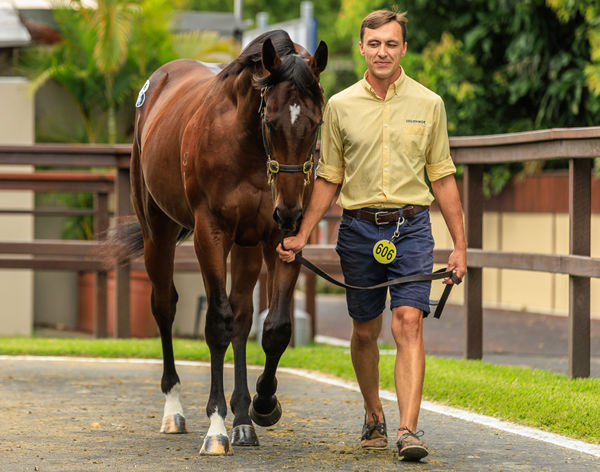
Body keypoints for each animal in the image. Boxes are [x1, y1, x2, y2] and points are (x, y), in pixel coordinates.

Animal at [120, 30, 328, 458]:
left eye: (316, 123)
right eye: (270, 119)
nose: (289, 211)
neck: (247, 146)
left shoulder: (282, 239)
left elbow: (275, 327)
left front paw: (263, 404)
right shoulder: (210, 235)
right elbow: (217, 322)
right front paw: (216, 426)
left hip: (247, 246)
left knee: (243, 317)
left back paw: (244, 419)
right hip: (157, 232)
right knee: (165, 306)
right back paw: (174, 410)